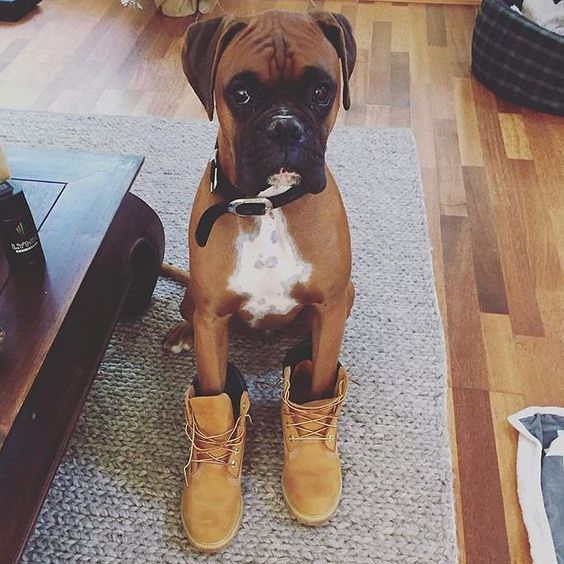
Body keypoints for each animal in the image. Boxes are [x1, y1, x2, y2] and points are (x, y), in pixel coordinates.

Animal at [164, 9, 356, 552]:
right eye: (242, 94)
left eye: (322, 91)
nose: (285, 127)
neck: (267, 205)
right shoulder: (212, 319)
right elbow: (214, 395)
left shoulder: (331, 305)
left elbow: (317, 380)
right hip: (197, 302)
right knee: (188, 309)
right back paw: (180, 333)